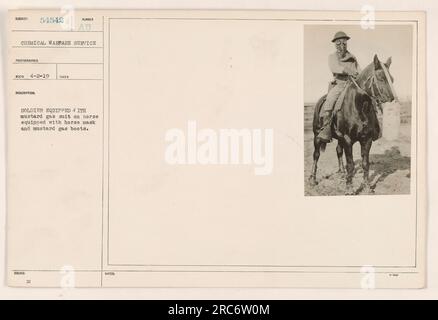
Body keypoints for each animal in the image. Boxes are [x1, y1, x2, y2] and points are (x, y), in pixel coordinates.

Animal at [310, 54, 396, 195]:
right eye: (380, 77)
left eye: (392, 79)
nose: (392, 99)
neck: (359, 105)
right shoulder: (347, 139)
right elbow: (350, 164)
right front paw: (349, 188)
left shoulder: (366, 139)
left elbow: (365, 163)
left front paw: (367, 186)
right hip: (317, 135)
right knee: (316, 155)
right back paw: (312, 179)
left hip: (339, 138)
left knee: (338, 151)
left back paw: (341, 173)